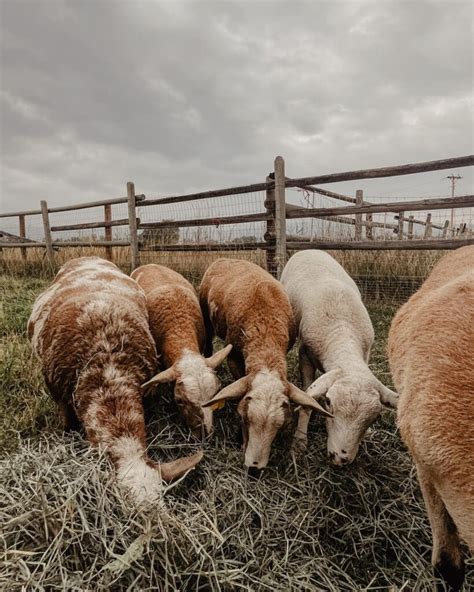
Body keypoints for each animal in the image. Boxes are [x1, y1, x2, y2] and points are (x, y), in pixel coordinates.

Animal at [197, 260, 330, 472]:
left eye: (281, 426)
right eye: (243, 418)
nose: (254, 469)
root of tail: (225, 259)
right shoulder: (233, 356)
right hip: (206, 316)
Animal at [280, 247, 398, 464]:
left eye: (375, 418)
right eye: (329, 402)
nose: (340, 458)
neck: (342, 332)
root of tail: (309, 249)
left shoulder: (365, 354)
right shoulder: (305, 354)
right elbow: (307, 401)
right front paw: (299, 443)